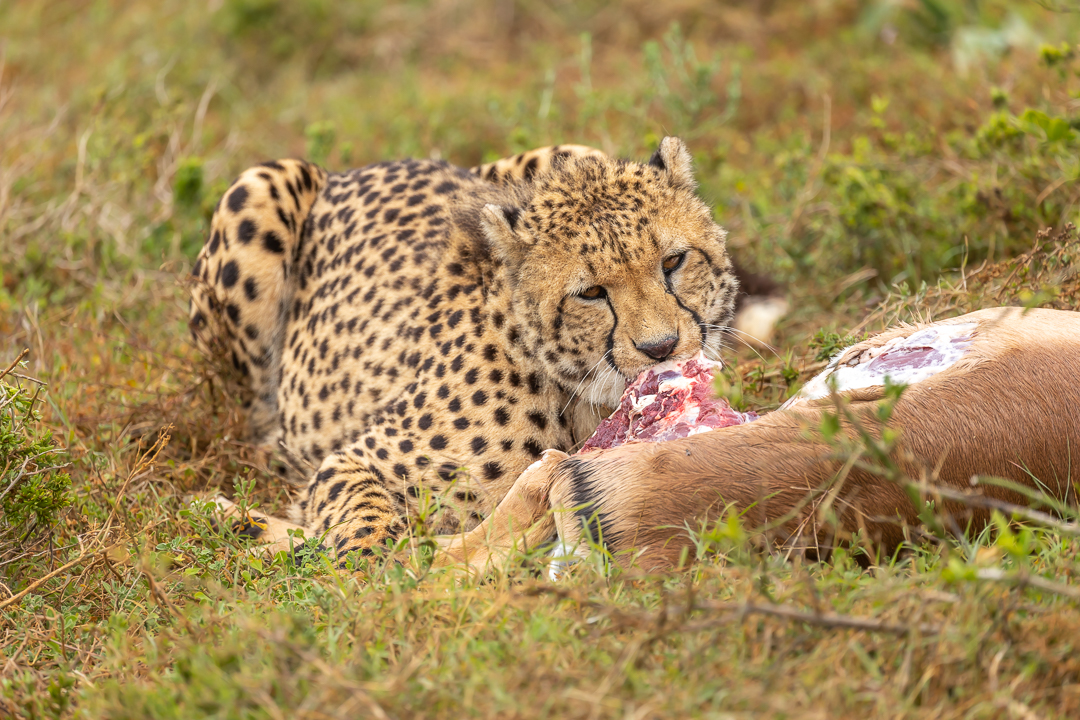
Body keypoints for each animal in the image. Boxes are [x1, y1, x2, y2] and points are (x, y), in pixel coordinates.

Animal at [187, 136, 743, 561]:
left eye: (673, 261)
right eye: (590, 293)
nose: (661, 347)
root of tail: (352, 169)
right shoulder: (351, 461)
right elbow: (364, 517)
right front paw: (366, 568)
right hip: (260, 185)